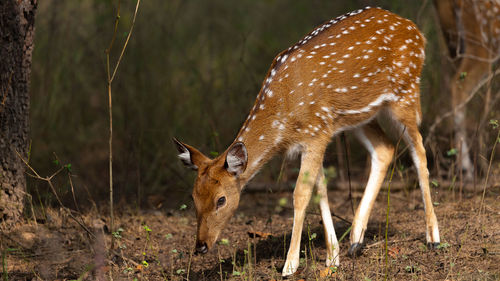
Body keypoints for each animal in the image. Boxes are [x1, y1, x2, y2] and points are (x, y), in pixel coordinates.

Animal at [174, 7, 440, 276]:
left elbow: (301, 193)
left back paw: (433, 237)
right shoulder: (316, 137)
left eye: (221, 199)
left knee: (419, 150)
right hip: (360, 115)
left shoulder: (316, 133)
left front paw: (290, 265)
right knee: (385, 149)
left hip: (405, 92)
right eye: (193, 197)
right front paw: (333, 257)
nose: (201, 246)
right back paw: (355, 240)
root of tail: (417, 31)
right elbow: (320, 188)